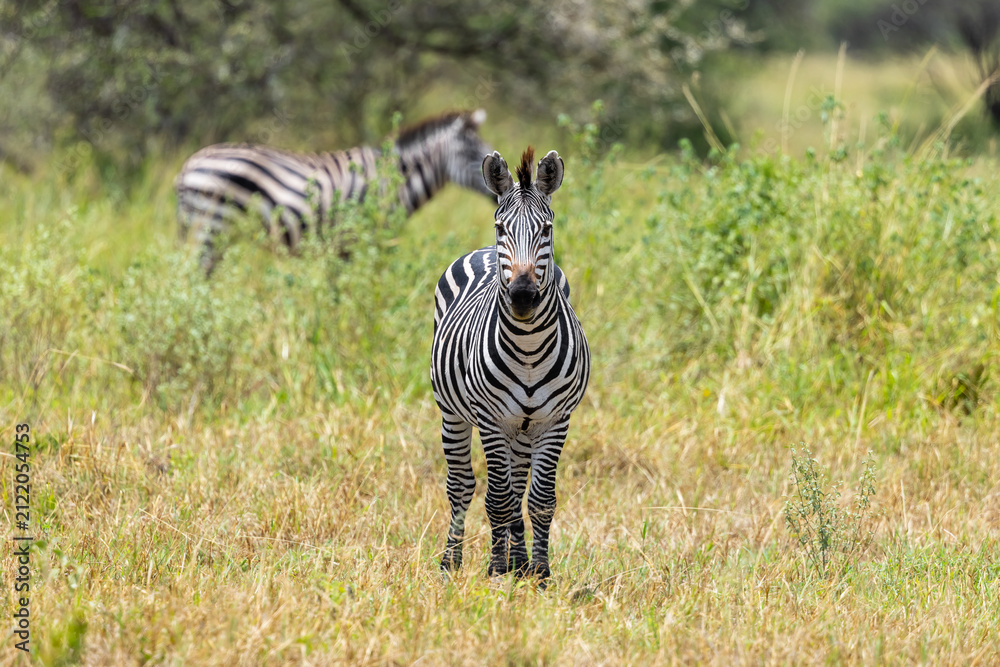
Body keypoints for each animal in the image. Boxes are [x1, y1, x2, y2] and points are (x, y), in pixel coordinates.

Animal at [174, 109, 493, 273]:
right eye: (471, 153)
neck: (392, 181)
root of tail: (189, 164)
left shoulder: (343, 246)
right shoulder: (359, 241)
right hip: (212, 225)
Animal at [430, 146, 590, 582]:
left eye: (547, 230)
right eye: (501, 228)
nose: (521, 295)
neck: (529, 347)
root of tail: (481, 253)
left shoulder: (555, 421)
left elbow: (540, 498)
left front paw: (539, 571)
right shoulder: (490, 419)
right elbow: (498, 499)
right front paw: (497, 570)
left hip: (523, 426)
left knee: (518, 486)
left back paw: (518, 560)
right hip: (453, 413)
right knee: (462, 485)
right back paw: (454, 561)